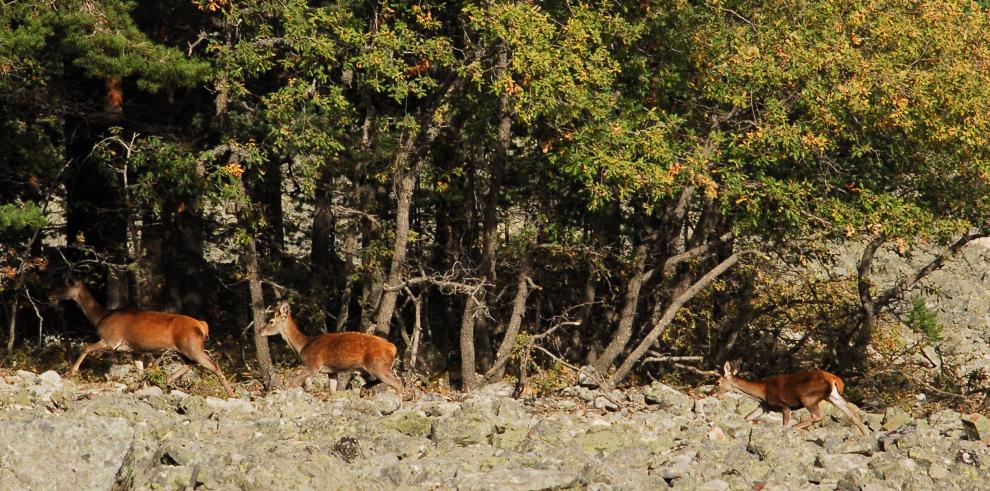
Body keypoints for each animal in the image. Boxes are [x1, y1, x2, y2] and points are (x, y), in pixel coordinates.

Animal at [53, 278, 239, 398]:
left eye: (64, 286)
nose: (51, 294)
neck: (100, 317)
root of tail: (202, 325)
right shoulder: (135, 351)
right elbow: (140, 370)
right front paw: (144, 387)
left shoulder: (111, 340)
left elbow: (86, 347)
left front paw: (72, 372)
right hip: (185, 348)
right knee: (190, 364)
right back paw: (167, 380)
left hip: (191, 346)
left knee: (213, 365)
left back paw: (231, 394)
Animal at [262, 300, 408, 400]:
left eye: (271, 321)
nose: (260, 330)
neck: (303, 345)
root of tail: (392, 347)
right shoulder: (332, 371)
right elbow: (333, 391)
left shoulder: (313, 364)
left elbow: (290, 381)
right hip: (372, 368)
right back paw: (363, 391)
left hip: (378, 365)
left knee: (398, 383)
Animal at [712, 360, 868, 436]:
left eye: (717, 382)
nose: (711, 394)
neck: (762, 393)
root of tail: (834, 379)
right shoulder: (764, 407)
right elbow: (747, 417)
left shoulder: (784, 406)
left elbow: (784, 424)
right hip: (833, 396)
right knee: (852, 414)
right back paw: (866, 436)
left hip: (808, 397)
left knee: (818, 415)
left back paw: (797, 427)